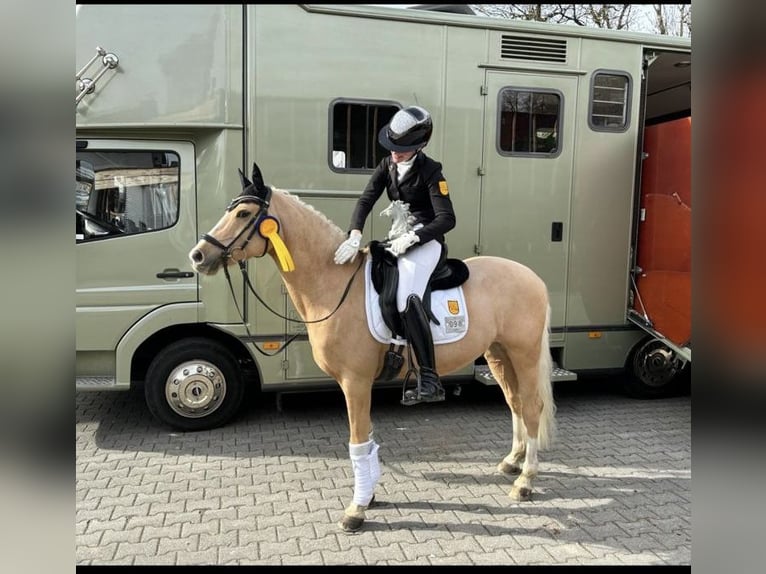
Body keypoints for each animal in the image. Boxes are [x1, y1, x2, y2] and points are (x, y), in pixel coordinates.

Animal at [188, 163, 560, 536]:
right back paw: (511, 462)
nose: (198, 256)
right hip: (499, 355)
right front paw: (368, 495)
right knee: (515, 404)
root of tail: (533, 277)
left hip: (523, 355)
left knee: (532, 408)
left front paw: (356, 509)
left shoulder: (355, 381)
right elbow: (367, 438)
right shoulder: (358, 384)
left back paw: (525, 481)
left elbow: (358, 442)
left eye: (243, 213)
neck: (334, 285)